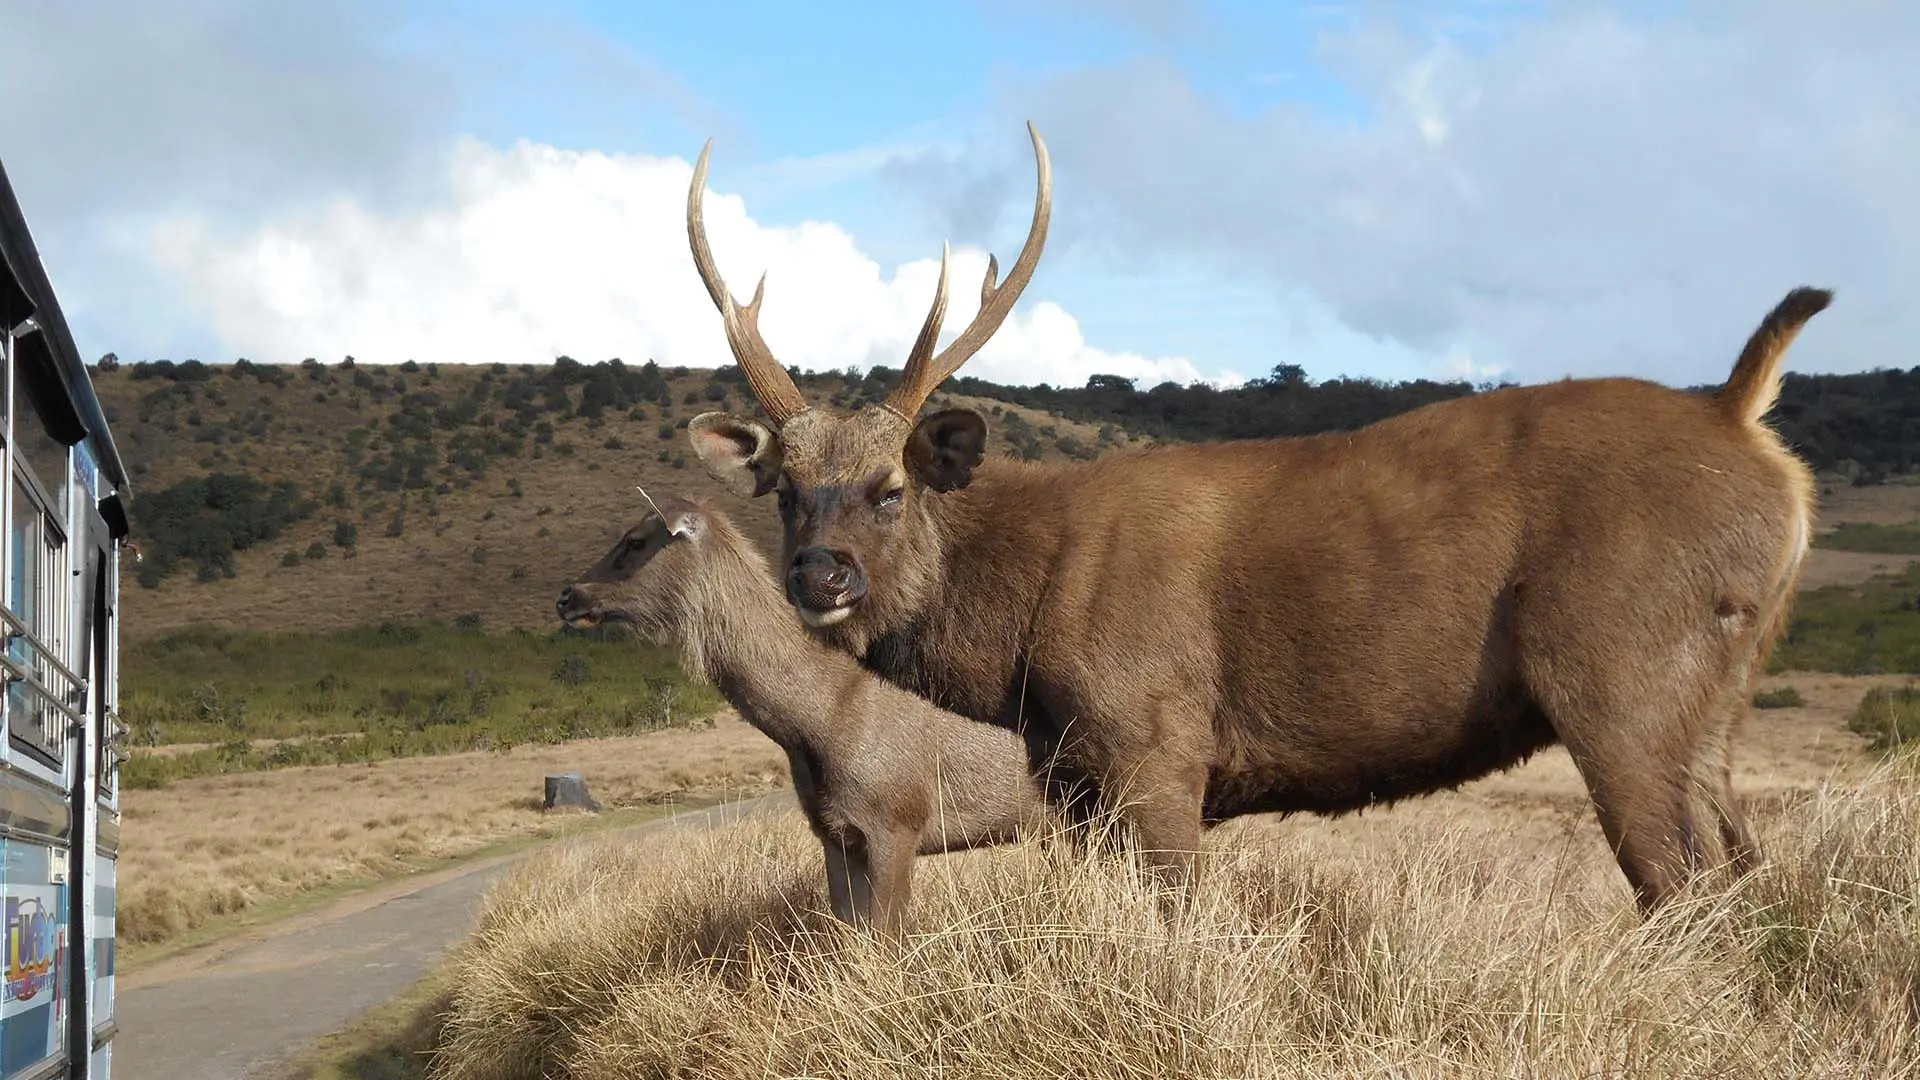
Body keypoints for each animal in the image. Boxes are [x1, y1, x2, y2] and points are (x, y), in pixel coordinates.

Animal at [555, 492, 1052, 933]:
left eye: (635, 540)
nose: (568, 596)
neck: (816, 723)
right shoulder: (834, 833)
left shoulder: (898, 819)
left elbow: (886, 934)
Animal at [676, 120, 1832, 913]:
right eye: (785, 490)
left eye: (892, 486)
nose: (821, 575)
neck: (1018, 649)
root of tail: (1744, 421)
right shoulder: (1075, 784)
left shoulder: (1155, 740)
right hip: (1719, 693)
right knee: (1747, 874)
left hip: (1621, 672)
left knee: (1685, 888)